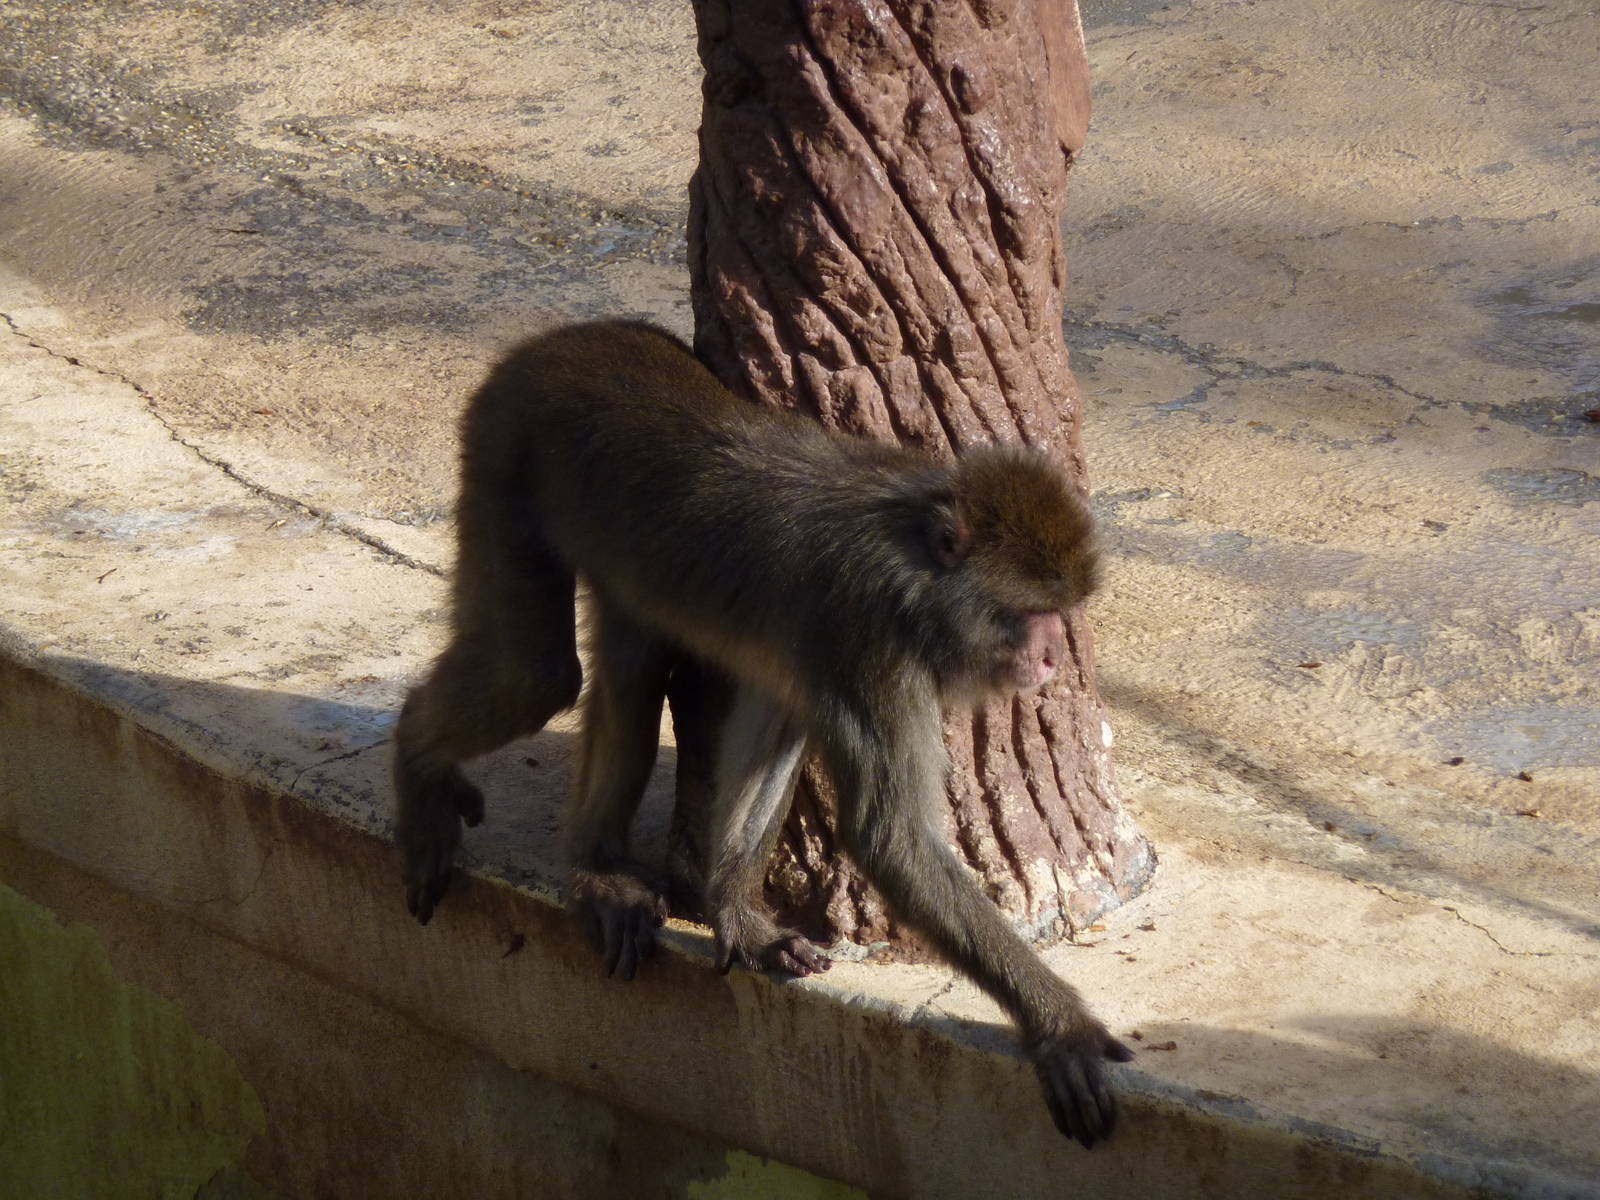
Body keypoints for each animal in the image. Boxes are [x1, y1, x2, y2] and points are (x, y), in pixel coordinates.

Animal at [393, 320, 1133, 1148]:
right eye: (1034, 611)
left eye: (1058, 612)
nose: (1051, 655)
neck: (915, 566)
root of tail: (567, 336)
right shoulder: (869, 637)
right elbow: (891, 838)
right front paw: (1060, 1028)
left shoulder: (823, 652)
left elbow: (781, 722)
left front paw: (737, 915)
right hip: (504, 438)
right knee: (537, 672)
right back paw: (418, 765)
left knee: (630, 660)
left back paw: (595, 864)